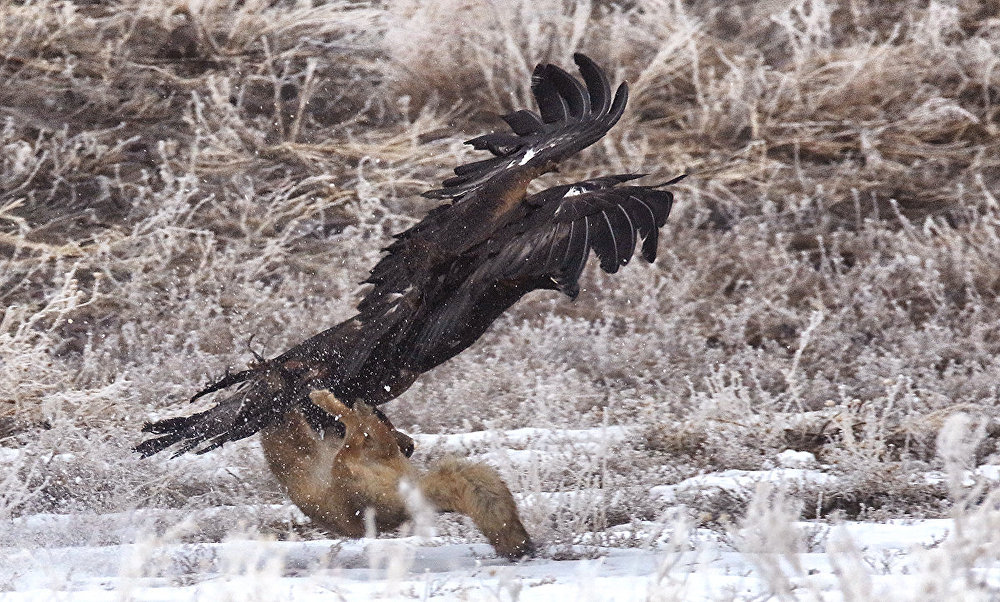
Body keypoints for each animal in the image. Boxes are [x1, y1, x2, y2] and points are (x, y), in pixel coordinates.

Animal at [262, 390, 536, 556]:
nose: (411, 446)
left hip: (357, 460)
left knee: (361, 429)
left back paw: (345, 405)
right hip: (346, 463)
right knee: (359, 430)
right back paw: (339, 403)